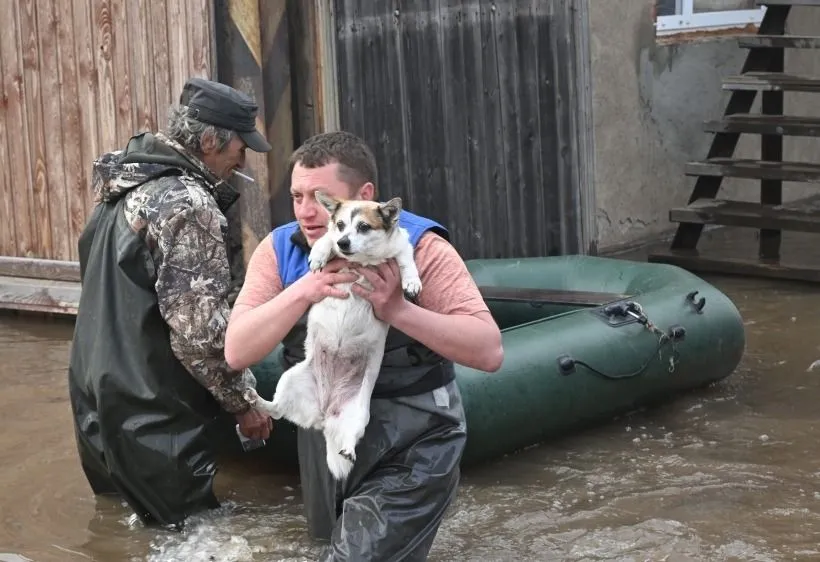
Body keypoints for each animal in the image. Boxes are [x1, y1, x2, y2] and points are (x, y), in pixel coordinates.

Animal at [243, 190, 422, 480]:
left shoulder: (401, 247)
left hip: (358, 416)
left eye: (364, 227)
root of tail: (324, 413)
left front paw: (411, 282)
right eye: (340, 225)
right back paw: (257, 400)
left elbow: (407, 261)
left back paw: (348, 449)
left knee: (347, 435)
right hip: (289, 379)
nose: (344, 241)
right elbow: (324, 240)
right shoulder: (332, 239)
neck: (361, 261)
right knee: (277, 411)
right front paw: (320, 254)